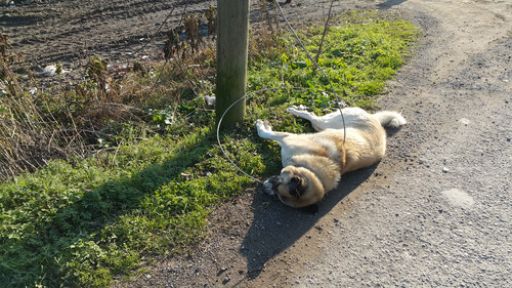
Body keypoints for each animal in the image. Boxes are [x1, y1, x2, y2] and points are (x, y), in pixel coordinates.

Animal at [254, 105, 406, 207]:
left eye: (278, 192)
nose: (263, 189)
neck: (313, 172)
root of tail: (376, 121)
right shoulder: (287, 138)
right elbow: (265, 133)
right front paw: (262, 126)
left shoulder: (287, 138)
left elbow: (266, 134)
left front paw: (262, 126)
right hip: (327, 123)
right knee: (312, 116)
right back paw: (296, 110)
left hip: (323, 124)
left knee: (313, 117)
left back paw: (295, 110)